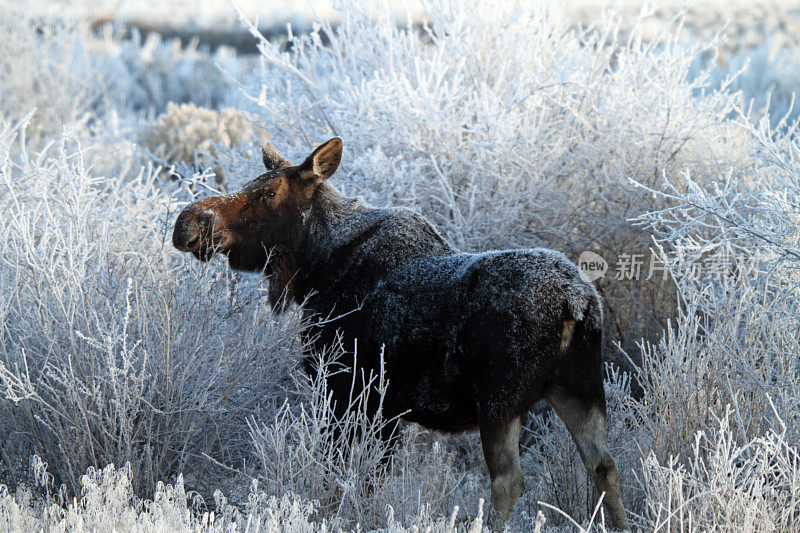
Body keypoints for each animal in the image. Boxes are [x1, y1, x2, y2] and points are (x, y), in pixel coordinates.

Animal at [173, 137, 632, 528]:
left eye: (268, 193)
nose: (189, 222)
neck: (314, 270)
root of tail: (578, 305)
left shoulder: (343, 390)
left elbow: (334, 479)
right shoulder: (388, 410)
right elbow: (370, 482)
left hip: (500, 400)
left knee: (509, 481)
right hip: (581, 388)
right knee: (604, 466)